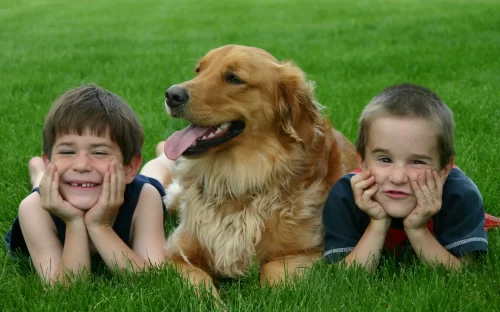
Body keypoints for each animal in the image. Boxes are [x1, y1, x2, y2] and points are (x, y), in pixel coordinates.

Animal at [162, 44, 358, 298]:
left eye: (234, 78)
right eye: (198, 70)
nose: (171, 95)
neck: (238, 179)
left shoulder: (314, 251)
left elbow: (273, 270)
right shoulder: (176, 254)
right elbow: (199, 281)